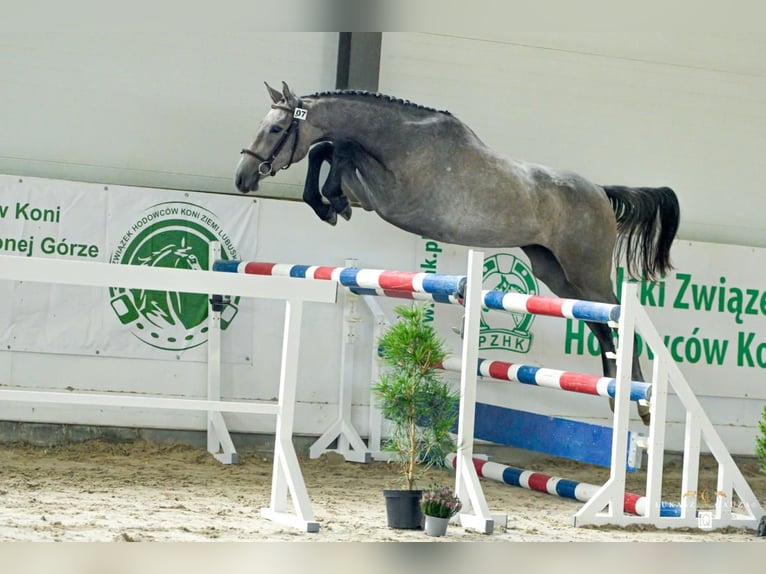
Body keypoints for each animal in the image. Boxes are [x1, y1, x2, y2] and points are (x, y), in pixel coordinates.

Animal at [235, 81, 681, 425]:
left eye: (276, 128)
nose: (243, 179)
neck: (400, 137)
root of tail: (601, 193)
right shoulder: (373, 190)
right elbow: (327, 149)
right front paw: (329, 204)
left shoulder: (393, 197)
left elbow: (336, 149)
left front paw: (332, 202)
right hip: (555, 272)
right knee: (600, 326)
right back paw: (613, 394)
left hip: (586, 271)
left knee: (620, 319)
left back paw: (639, 403)